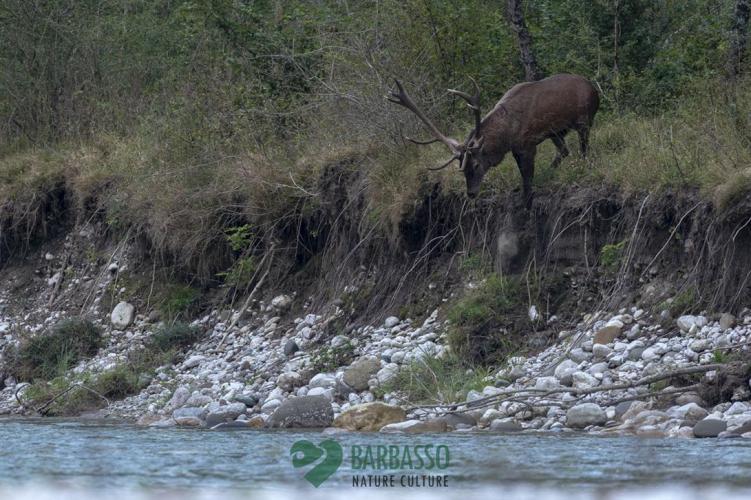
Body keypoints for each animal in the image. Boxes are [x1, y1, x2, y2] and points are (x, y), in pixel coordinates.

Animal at [387, 74, 599, 206]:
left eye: (475, 165)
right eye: (461, 168)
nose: (471, 193)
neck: (506, 135)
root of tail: (595, 90)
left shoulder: (527, 144)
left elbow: (527, 177)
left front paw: (526, 200)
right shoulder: (518, 148)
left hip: (584, 119)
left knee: (583, 149)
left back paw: (582, 165)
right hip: (556, 132)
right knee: (564, 151)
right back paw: (548, 172)